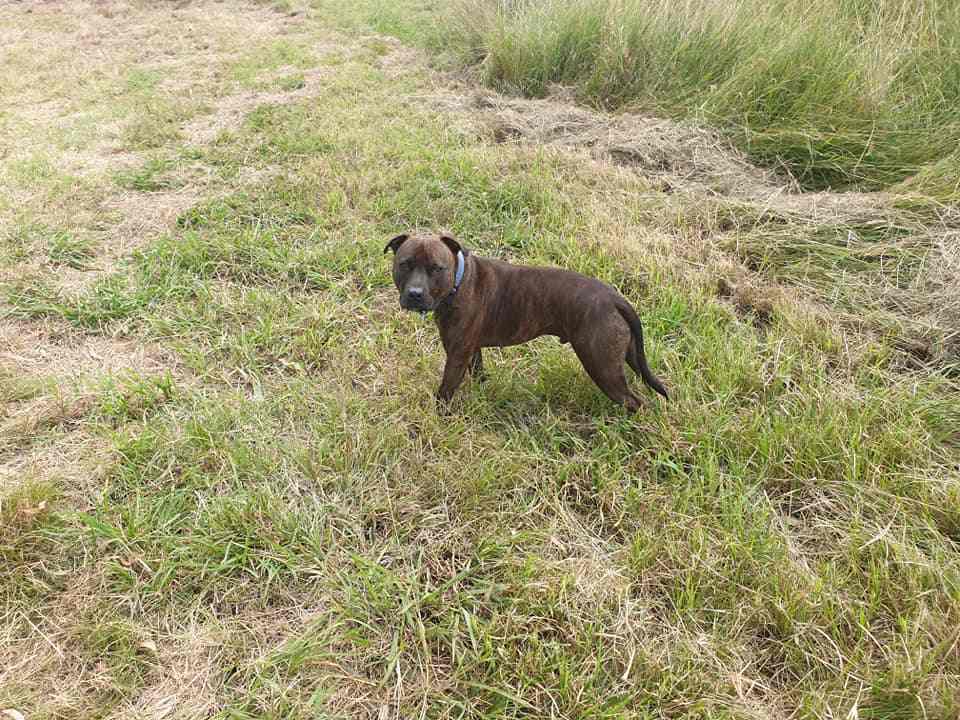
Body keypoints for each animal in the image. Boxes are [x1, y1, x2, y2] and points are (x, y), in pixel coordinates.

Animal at [386, 231, 672, 410]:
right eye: (405, 264)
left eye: (436, 268)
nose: (414, 294)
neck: (459, 280)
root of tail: (615, 298)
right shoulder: (471, 349)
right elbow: (478, 373)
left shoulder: (456, 354)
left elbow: (445, 390)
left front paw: (439, 416)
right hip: (628, 357)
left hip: (602, 366)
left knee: (634, 402)